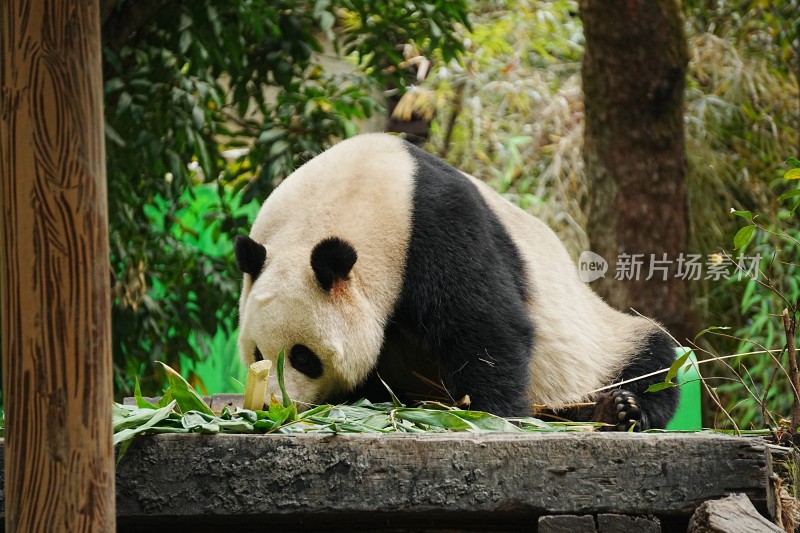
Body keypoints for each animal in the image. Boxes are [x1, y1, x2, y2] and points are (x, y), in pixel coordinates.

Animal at [234, 132, 680, 428]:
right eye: (256, 353)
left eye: (303, 357)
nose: (272, 405)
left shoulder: (435, 225)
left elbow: (485, 325)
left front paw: (489, 414)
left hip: (598, 341)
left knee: (652, 361)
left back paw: (620, 410)